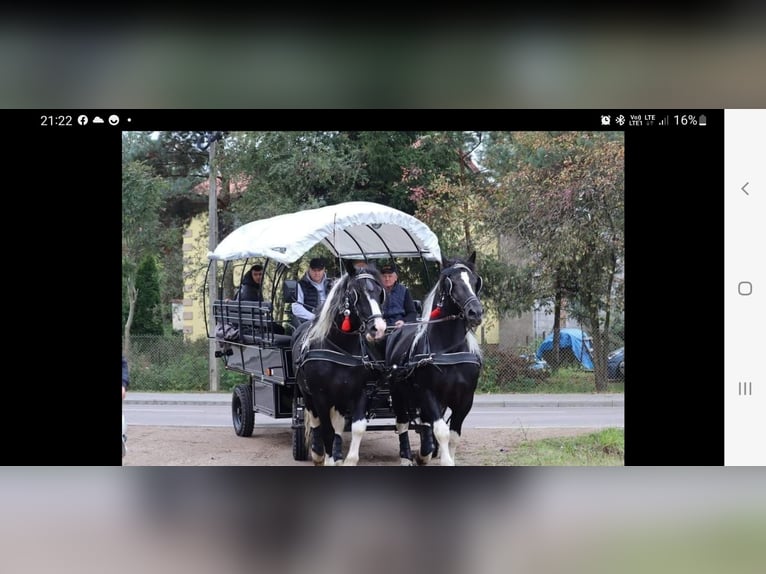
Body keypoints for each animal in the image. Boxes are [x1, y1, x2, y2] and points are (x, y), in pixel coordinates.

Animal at [294, 264, 390, 466]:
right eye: (357, 293)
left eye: (380, 293)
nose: (378, 328)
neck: (341, 348)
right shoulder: (320, 396)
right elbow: (327, 431)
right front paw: (327, 458)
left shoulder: (361, 392)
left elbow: (356, 427)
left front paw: (346, 460)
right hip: (307, 395)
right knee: (315, 422)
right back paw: (318, 454)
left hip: (339, 399)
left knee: (338, 425)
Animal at [390, 252, 486, 468]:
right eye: (451, 282)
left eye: (475, 282)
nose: (475, 312)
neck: (450, 350)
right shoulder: (428, 394)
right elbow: (441, 431)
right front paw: (443, 459)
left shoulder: (465, 398)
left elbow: (454, 434)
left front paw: (437, 454)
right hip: (398, 392)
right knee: (402, 423)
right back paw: (406, 456)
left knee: (425, 424)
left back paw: (425, 452)